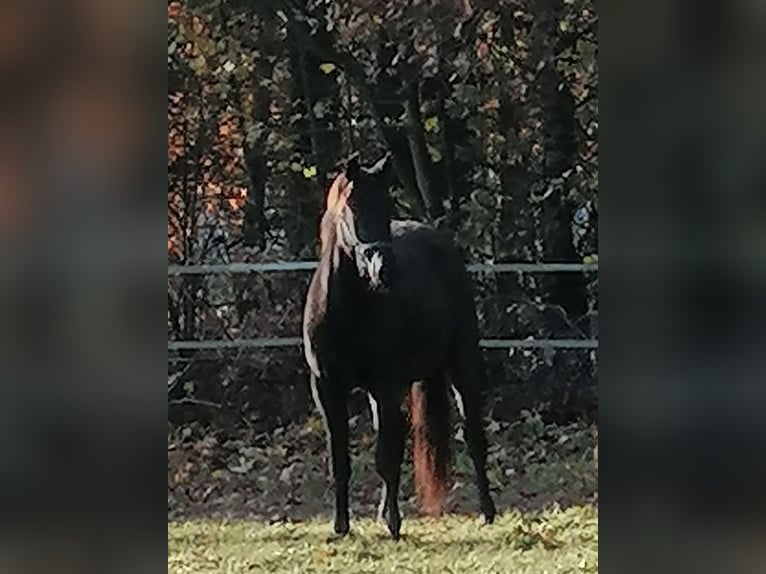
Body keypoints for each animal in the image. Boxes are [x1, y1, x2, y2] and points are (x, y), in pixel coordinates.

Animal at [302, 152, 498, 540]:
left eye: (386, 204)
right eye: (353, 205)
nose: (385, 268)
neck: (347, 309)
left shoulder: (385, 384)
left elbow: (386, 457)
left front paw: (394, 524)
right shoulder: (327, 389)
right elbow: (340, 460)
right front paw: (341, 526)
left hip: (461, 365)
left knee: (473, 436)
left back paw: (487, 511)